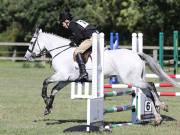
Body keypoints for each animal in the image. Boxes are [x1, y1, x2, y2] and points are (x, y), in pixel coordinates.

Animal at [24, 28, 180, 125]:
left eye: (31, 42)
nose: (26, 57)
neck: (61, 52)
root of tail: (136, 54)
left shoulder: (61, 75)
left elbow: (45, 83)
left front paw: (45, 101)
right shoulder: (66, 80)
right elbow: (54, 90)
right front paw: (48, 108)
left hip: (130, 79)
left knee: (151, 85)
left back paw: (161, 105)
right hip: (136, 79)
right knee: (148, 92)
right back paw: (158, 118)